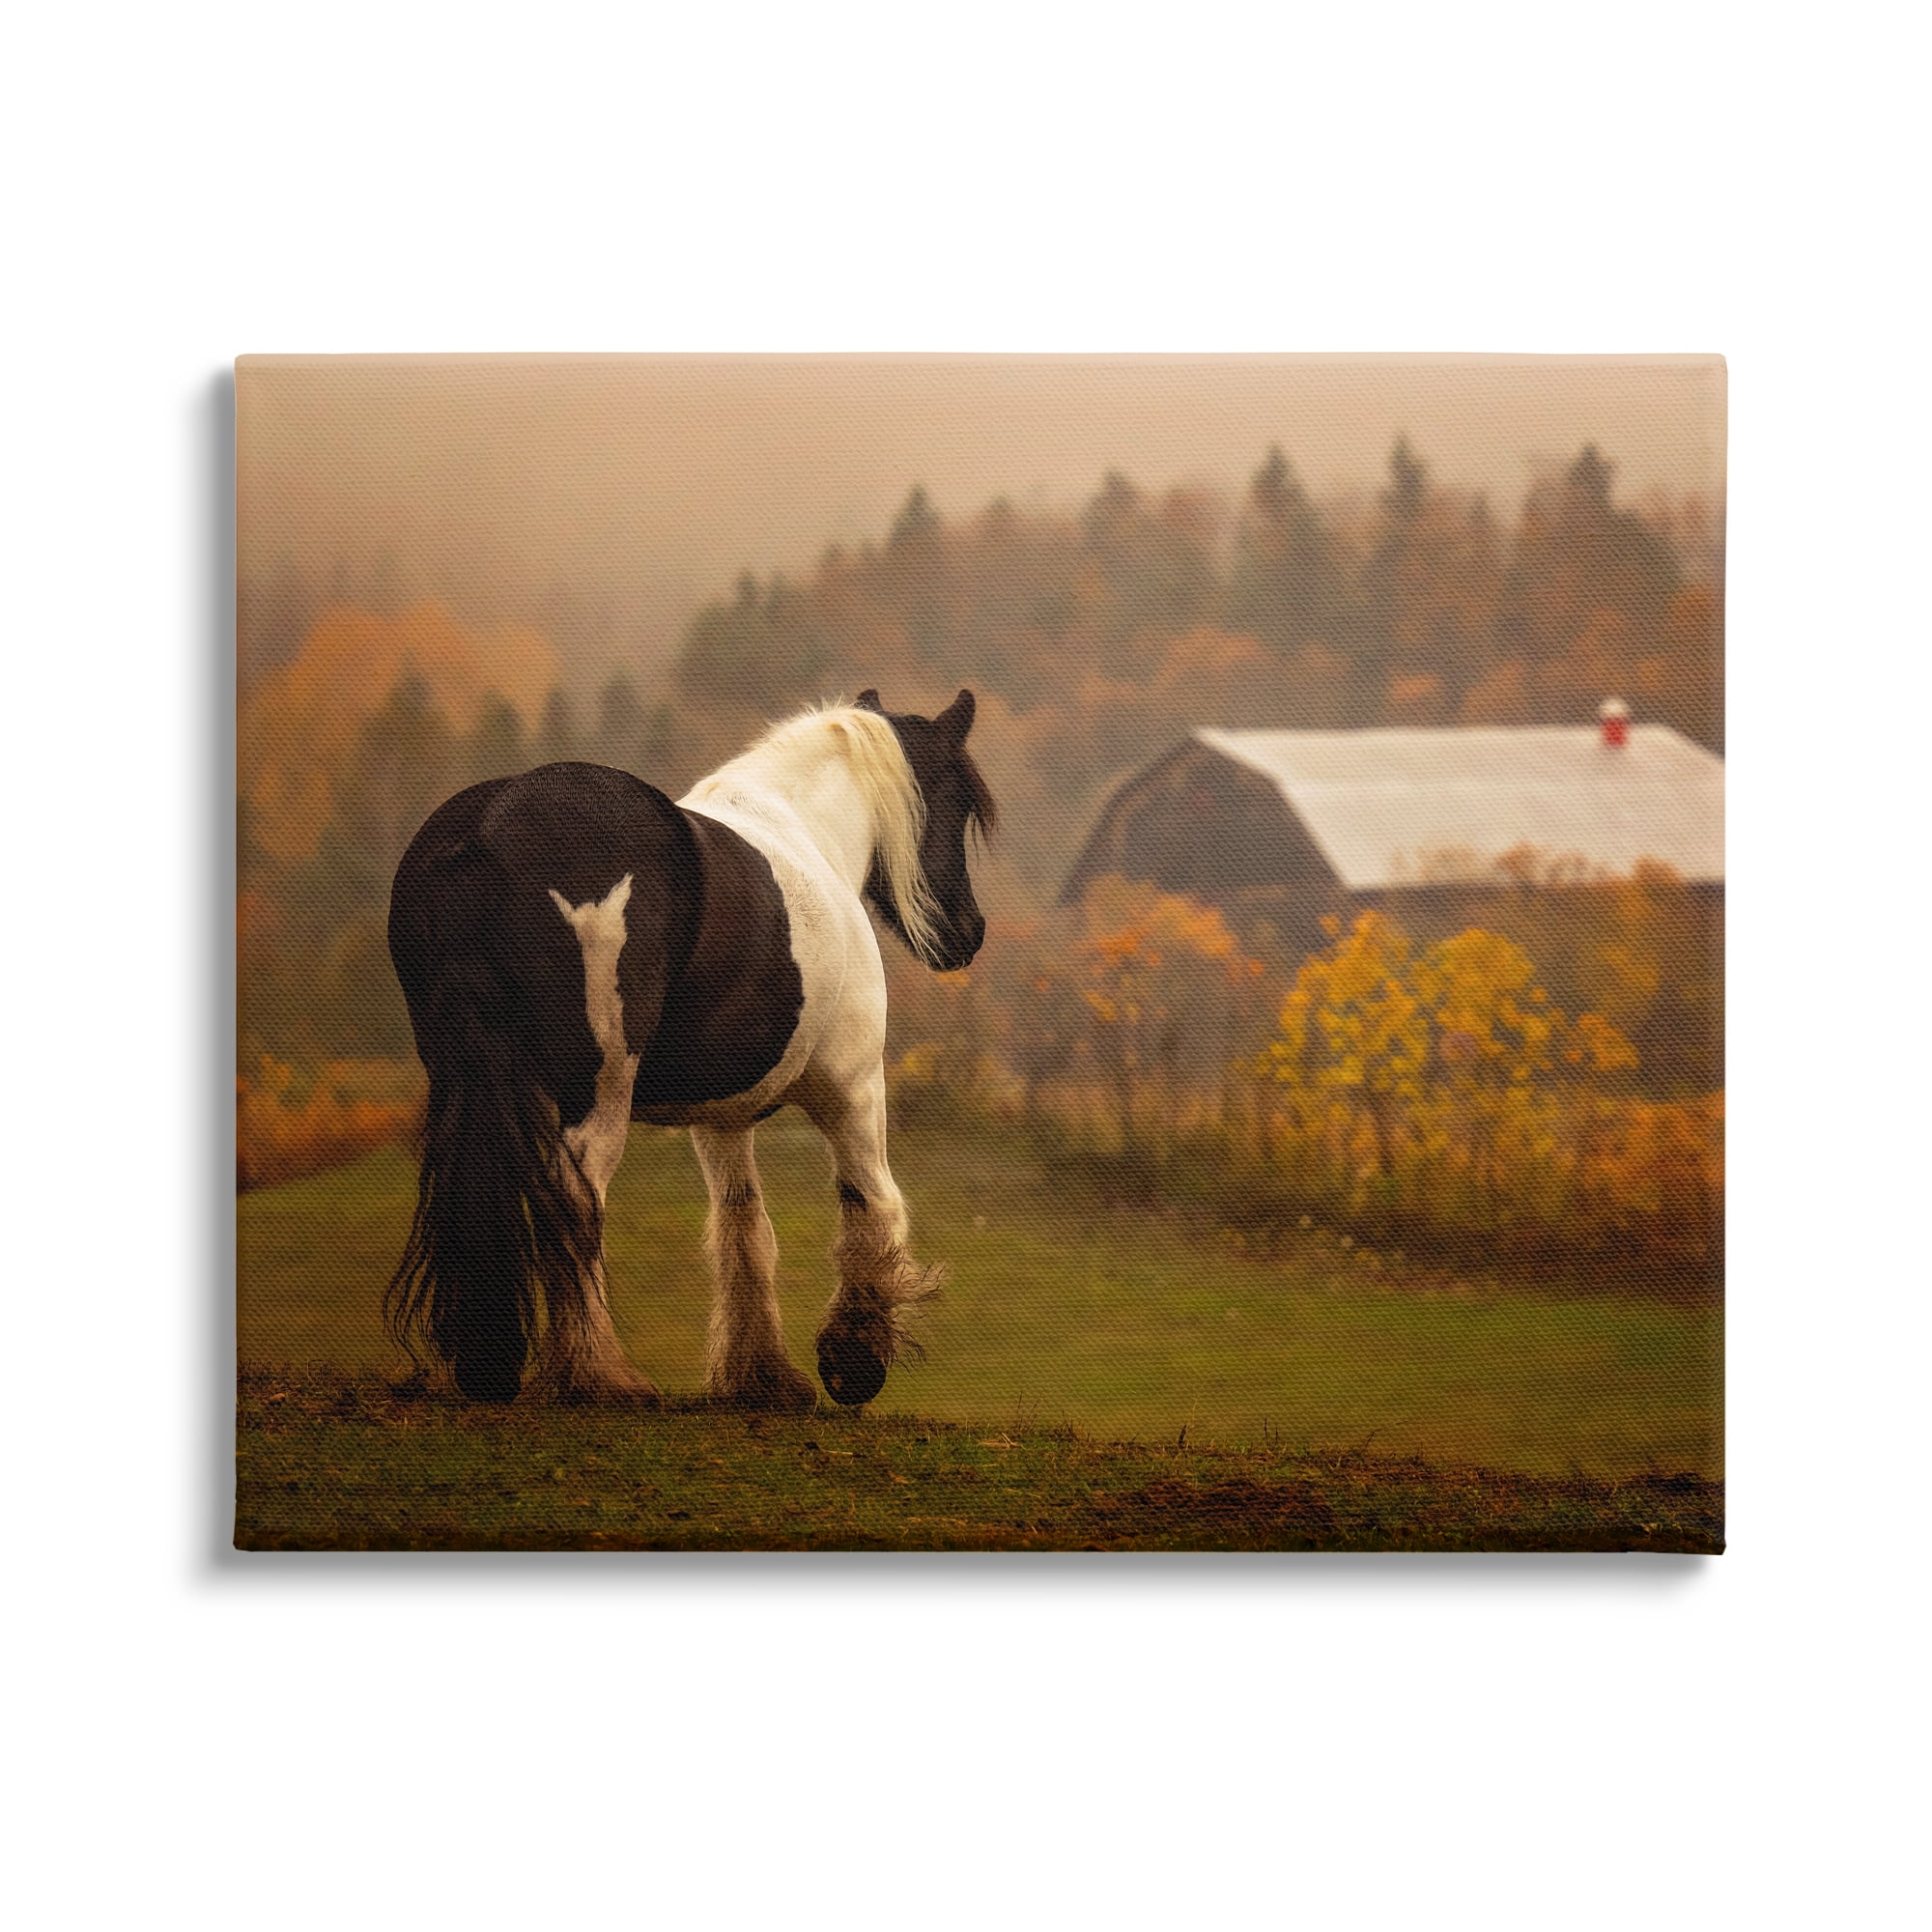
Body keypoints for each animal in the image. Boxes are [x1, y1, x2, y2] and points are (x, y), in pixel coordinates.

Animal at [383, 688, 994, 1412]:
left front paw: (761, 1376)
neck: (807, 833)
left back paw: (493, 1366)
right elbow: (871, 1203)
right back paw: (600, 1375)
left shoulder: (722, 1119)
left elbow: (743, 1228)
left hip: (466, 1078)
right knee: (576, 1197)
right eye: (958, 805)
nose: (969, 933)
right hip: (598, 1088)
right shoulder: (851, 1088)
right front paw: (854, 1359)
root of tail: (487, 830)